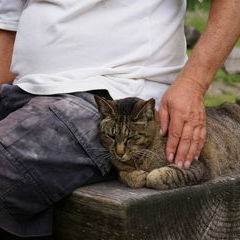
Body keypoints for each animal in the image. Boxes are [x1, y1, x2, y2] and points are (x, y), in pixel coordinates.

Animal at [94, 95, 240, 189]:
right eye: (111, 136)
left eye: (131, 137)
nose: (119, 153)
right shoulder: (121, 168)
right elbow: (123, 175)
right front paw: (136, 176)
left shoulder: (195, 164)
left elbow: (157, 177)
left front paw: (148, 175)